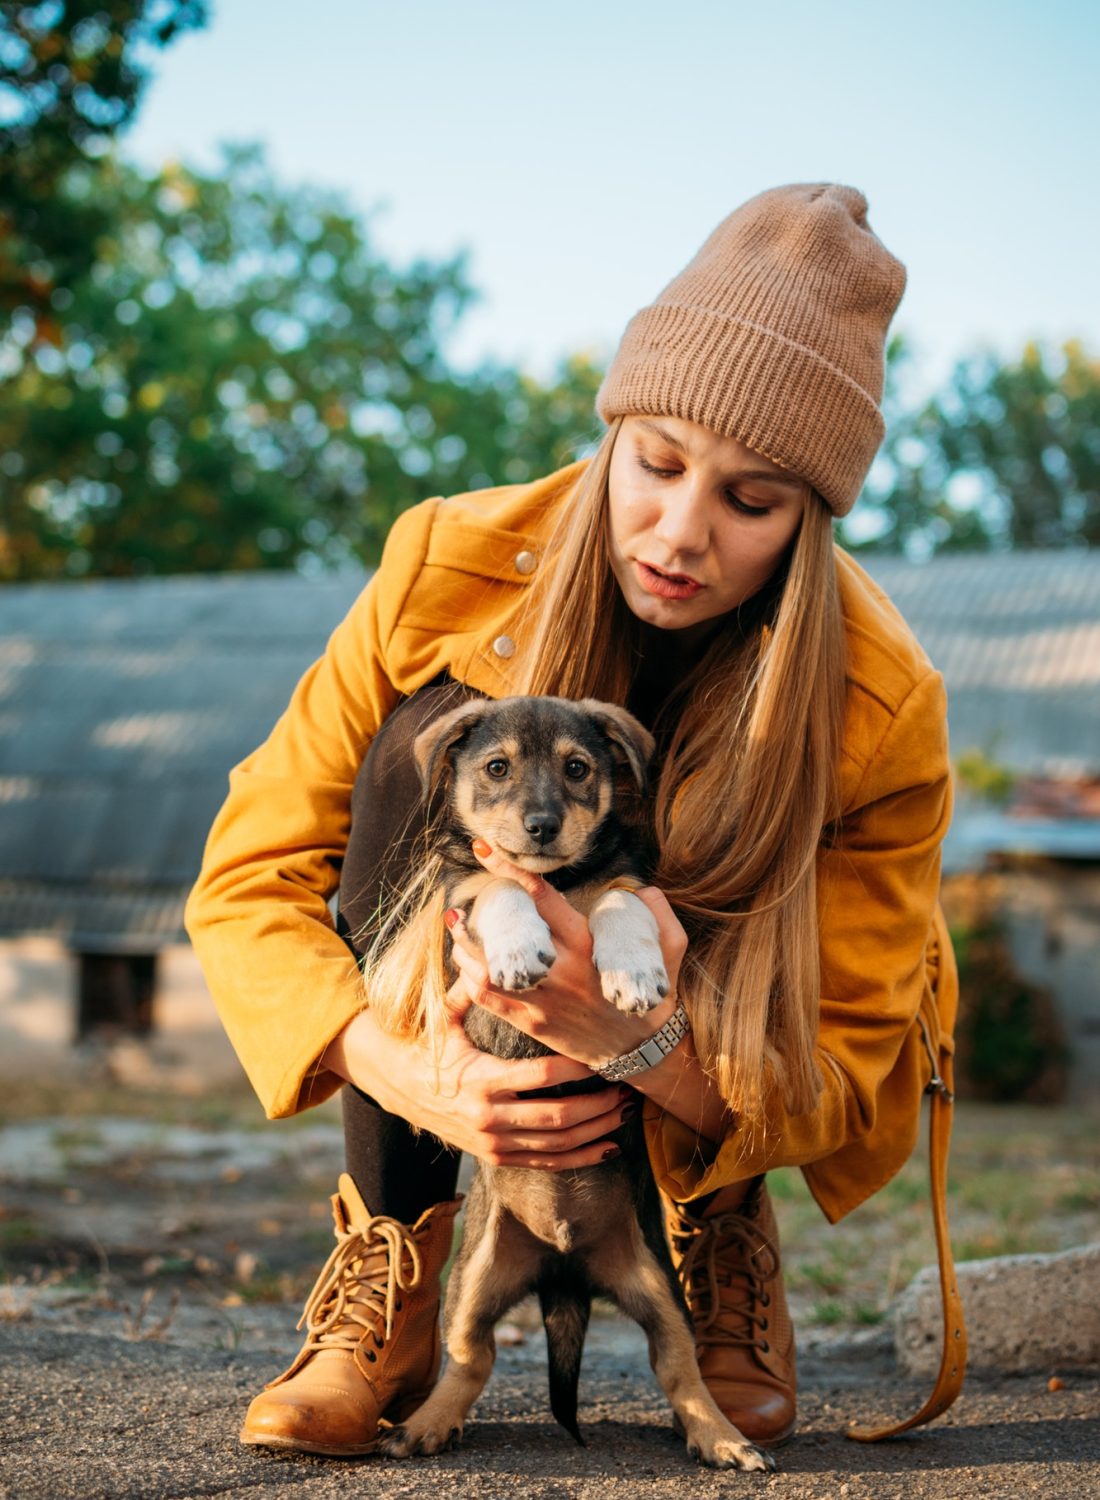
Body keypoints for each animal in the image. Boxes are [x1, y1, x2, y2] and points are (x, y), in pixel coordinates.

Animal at [378, 696, 774, 1470]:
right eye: (496, 768)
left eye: (578, 768)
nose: (541, 826)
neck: (557, 882)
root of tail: (564, 1267)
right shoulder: (462, 905)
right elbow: (501, 882)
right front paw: (520, 948)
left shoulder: (630, 887)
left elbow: (621, 901)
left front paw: (635, 973)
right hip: (473, 1280)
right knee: (471, 1359)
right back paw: (423, 1426)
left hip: (659, 1287)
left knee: (678, 1369)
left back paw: (722, 1439)